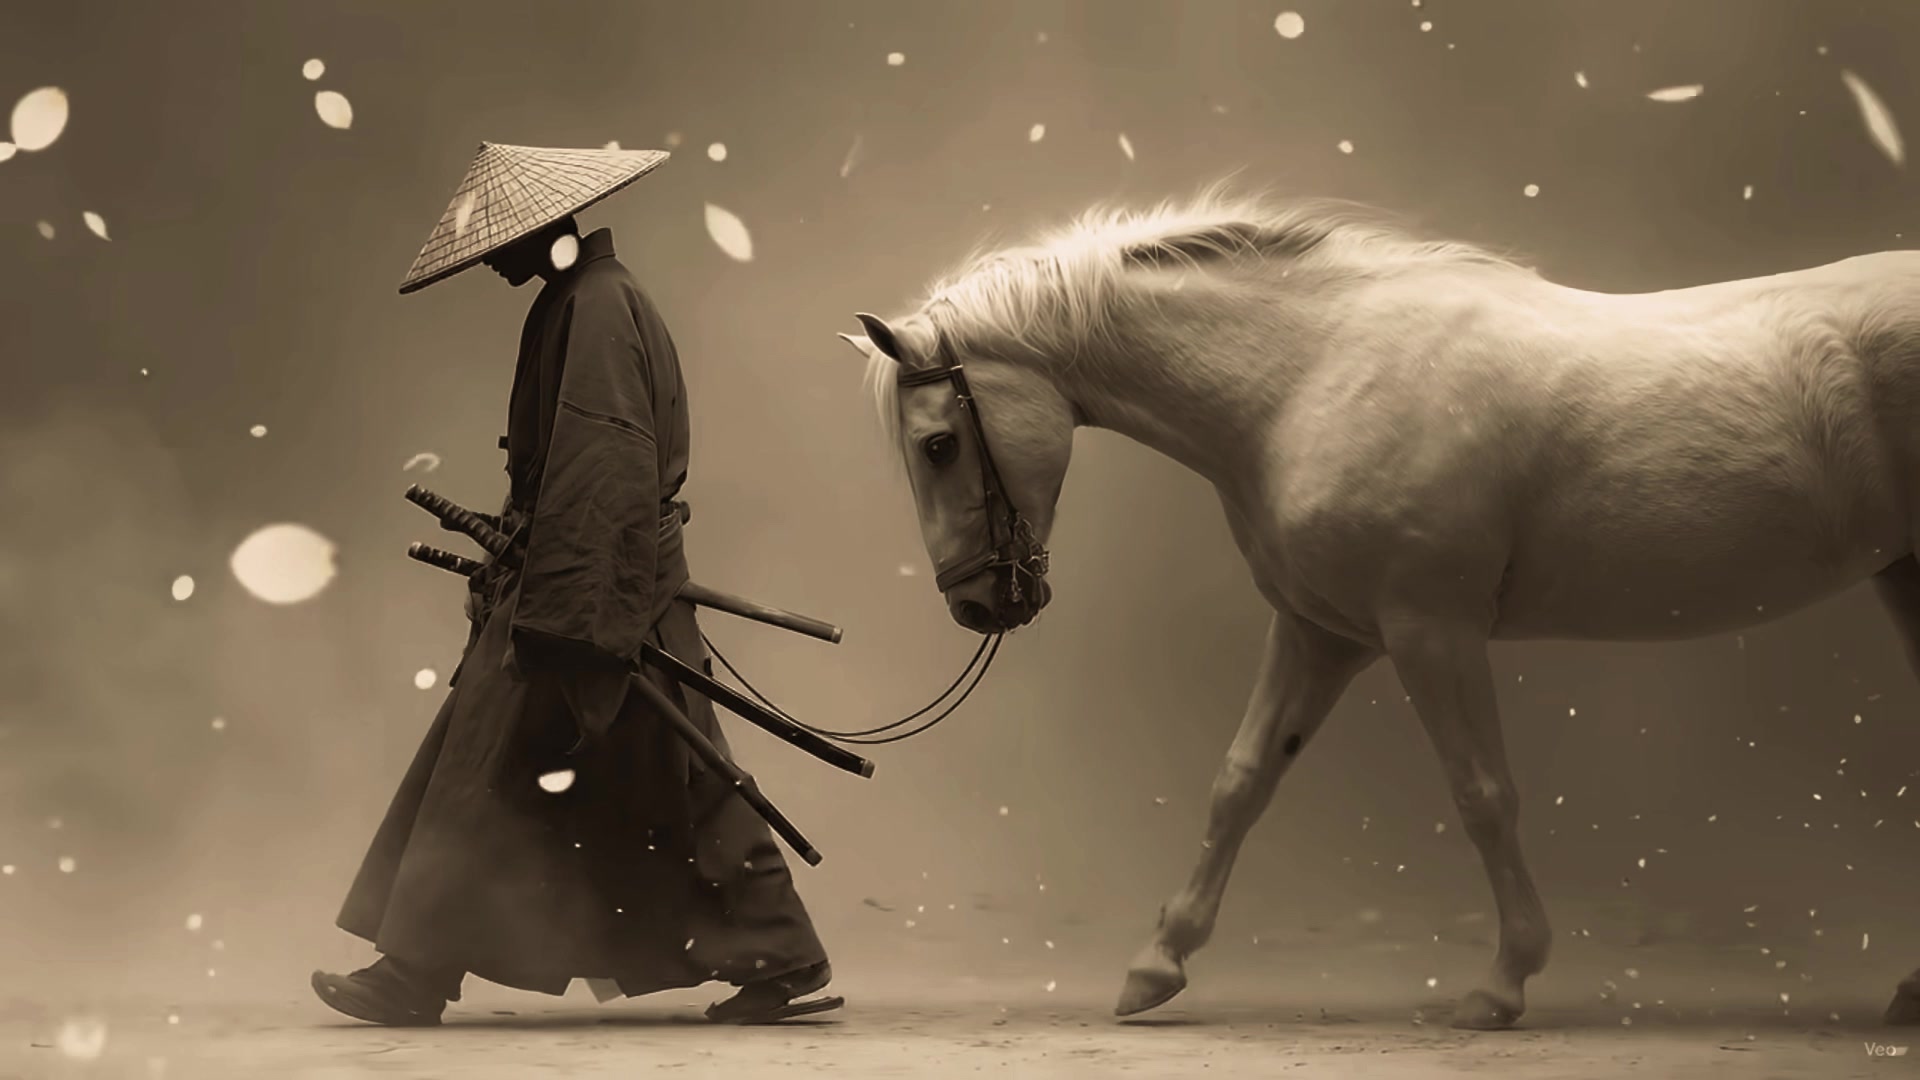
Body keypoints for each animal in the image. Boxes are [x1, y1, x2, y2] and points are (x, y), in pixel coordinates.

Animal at [835, 190, 1920, 1031]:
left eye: (938, 445)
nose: (977, 604)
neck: (1307, 376)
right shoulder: (1323, 632)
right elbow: (1240, 782)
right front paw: (1157, 964)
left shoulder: (1429, 630)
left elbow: (1482, 794)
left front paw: (1502, 985)